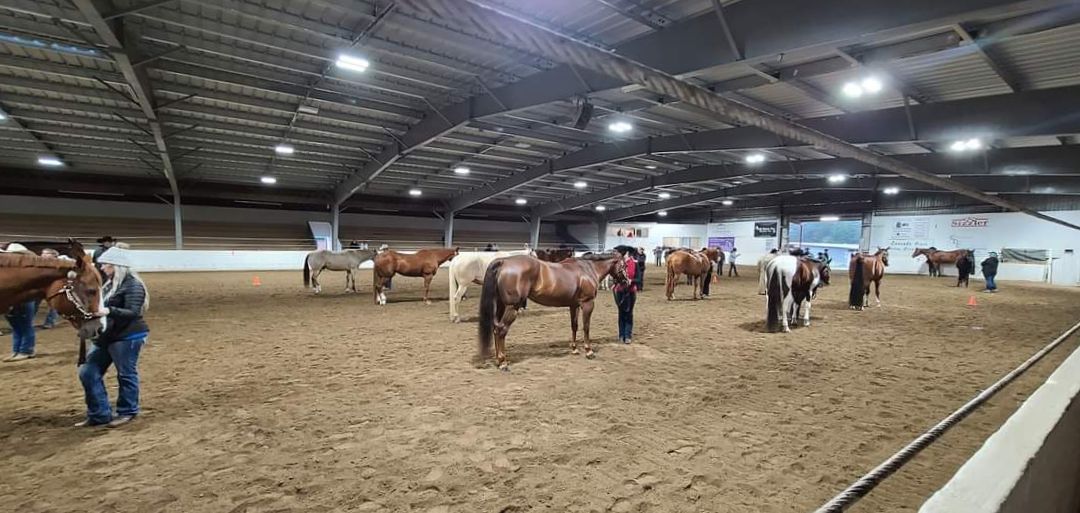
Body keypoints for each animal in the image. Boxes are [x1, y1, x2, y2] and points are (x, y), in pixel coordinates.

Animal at [479, 253, 630, 371]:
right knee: (501, 330)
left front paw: (574, 349)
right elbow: (586, 327)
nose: (627, 281)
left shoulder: (574, 305)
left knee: (495, 329)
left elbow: (574, 326)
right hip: (512, 307)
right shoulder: (588, 304)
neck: (587, 269)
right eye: (624, 265)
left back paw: (498, 361)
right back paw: (503, 363)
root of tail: (504, 261)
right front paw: (589, 351)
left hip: (501, 306)